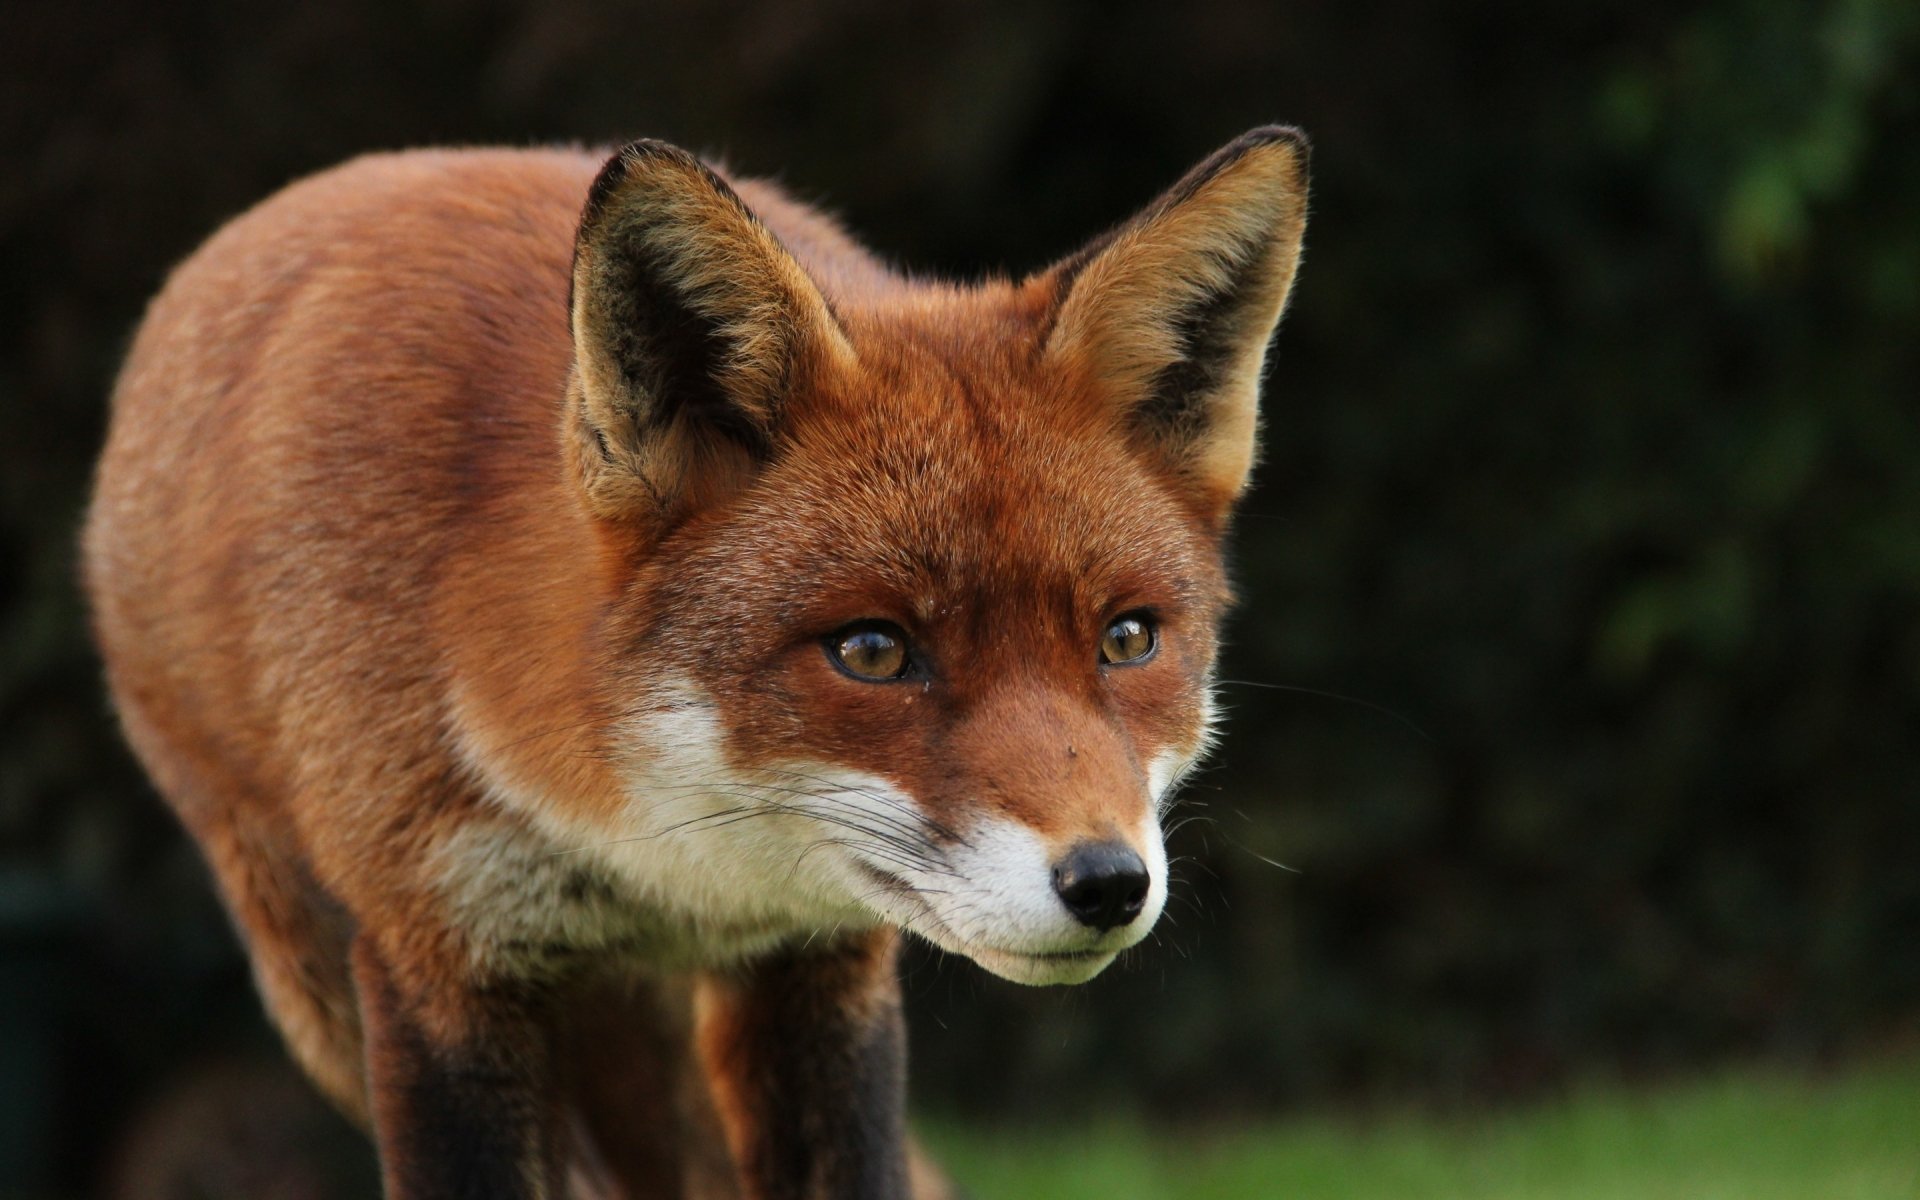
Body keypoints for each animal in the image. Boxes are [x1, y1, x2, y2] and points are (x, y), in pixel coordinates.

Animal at [82, 126, 1310, 1198]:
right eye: (874, 650)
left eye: (1128, 639)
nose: (1108, 884)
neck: (658, 862)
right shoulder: (443, 967)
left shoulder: (818, 968)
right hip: (316, 985)